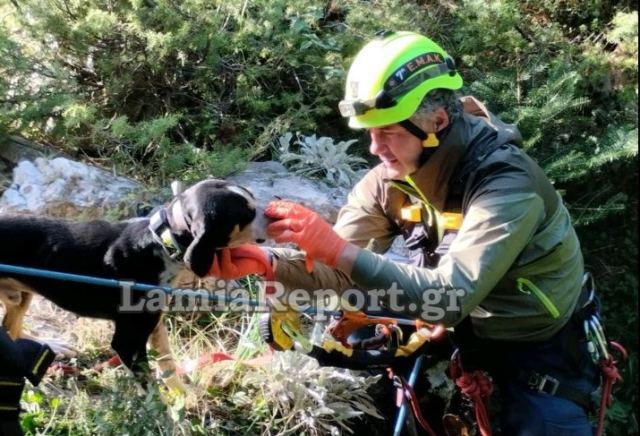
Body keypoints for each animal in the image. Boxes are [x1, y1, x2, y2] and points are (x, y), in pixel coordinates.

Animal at [0, 178, 268, 388]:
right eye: (246, 213)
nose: (272, 213)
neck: (161, 241)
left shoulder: (155, 325)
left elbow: (169, 368)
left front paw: (186, 401)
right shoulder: (127, 342)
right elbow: (152, 392)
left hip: (20, 296)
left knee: (12, 331)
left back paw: (52, 346)